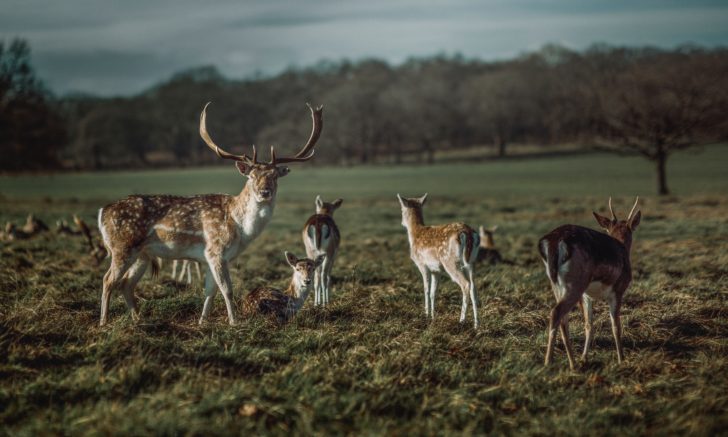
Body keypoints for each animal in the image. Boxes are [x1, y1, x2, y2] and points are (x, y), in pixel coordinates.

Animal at [97, 102, 324, 326]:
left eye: (275, 176)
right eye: (251, 175)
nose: (264, 192)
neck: (240, 227)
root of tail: (102, 212)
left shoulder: (208, 257)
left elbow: (210, 291)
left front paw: (202, 322)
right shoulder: (216, 250)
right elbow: (227, 289)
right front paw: (234, 323)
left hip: (142, 254)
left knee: (126, 284)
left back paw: (138, 320)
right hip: (122, 246)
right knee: (108, 280)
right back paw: (104, 322)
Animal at [396, 194, 480, 328]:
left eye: (401, 209)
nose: (402, 222)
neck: (415, 234)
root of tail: (468, 234)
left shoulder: (422, 265)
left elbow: (426, 289)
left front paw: (426, 315)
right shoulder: (436, 270)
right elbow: (433, 292)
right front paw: (433, 317)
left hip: (450, 262)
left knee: (466, 284)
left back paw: (461, 321)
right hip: (472, 262)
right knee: (473, 287)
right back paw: (476, 325)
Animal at [536, 197, 640, 368]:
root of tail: (553, 242)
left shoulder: (587, 296)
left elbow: (589, 325)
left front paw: (584, 357)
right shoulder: (618, 290)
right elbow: (615, 325)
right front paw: (621, 359)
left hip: (557, 284)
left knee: (563, 319)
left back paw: (573, 362)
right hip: (576, 283)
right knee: (556, 312)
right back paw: (549, 362)